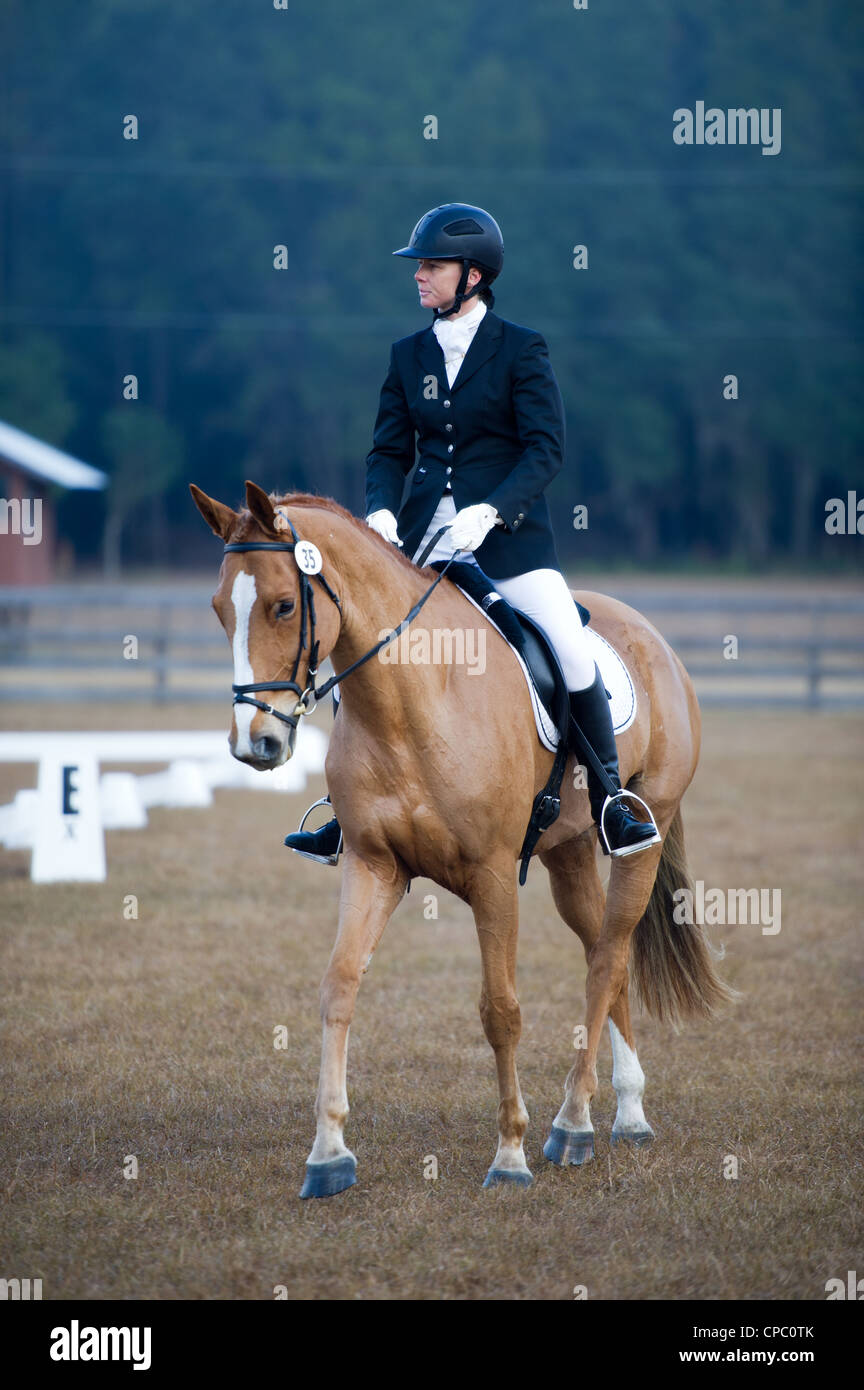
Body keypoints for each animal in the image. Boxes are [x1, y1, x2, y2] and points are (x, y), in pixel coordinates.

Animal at [191, 479, 734, 1198]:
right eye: (221, 610)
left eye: (283, 605)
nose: (256, 744)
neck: (407, 699)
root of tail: (655, 639)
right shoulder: (373, 865)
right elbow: (339, 986)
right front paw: (328, 1153)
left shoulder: (494, 873)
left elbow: (500, 1010)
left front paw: (510, 1155)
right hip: (567, 853)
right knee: (603, 955)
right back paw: (623, 1112)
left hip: (646, 831)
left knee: (609, 957)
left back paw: (569, 1124)